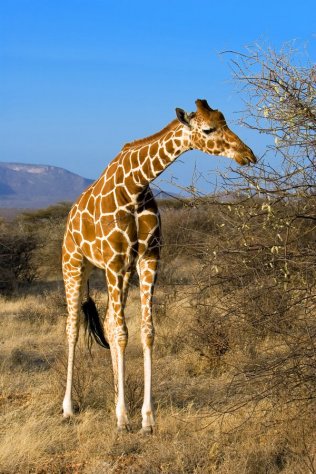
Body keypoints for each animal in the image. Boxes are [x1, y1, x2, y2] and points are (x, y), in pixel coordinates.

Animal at [61, 98, 256, 432]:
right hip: (74, 265)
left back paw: (115, 400)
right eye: (208, 129)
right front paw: (123, 419)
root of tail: (70, 219)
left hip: (121, 272)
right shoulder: (114, 261)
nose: (248, 155)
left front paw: (145, 419)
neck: (135, 185)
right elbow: (123, 333)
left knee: (108, 325)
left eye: (225, 122)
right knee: (73, 327)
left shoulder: (147, 259)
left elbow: (146, 332)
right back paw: (68, 409)